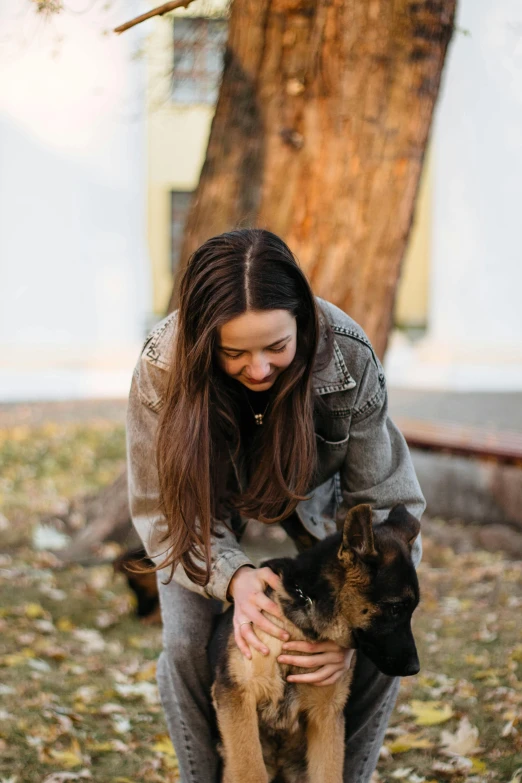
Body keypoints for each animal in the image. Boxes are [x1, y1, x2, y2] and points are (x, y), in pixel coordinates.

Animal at [209, 502, 420, 783]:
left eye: (412, 610)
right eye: (396, 609)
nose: (415, 668)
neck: (302, 623)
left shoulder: (326, 715)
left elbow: (330, 773)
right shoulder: (237, 697)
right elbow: (250, 771)